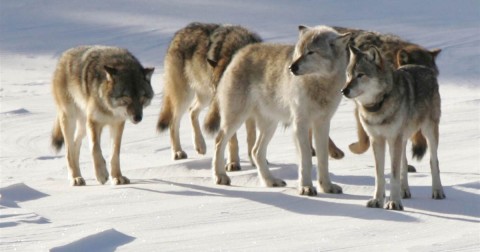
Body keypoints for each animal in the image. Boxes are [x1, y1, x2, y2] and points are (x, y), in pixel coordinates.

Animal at [49, 45, 154, 185]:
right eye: (126, 99)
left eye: (142, 98)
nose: (138, 118)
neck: (109, 108)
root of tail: (64, 56)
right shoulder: (94, 122)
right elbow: (95, 148)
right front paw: (101, 174)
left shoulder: (117, 124)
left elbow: (115, 153)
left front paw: (117, 177)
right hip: (70, 120)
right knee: (68, 150)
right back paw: (75, 178)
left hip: (83, 126)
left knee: (76, 145)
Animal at [157, 22, 262, 170]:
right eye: (218, 88)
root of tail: (179, 33)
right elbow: (232, 140)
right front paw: (233, 163)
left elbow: (251, 136)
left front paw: (254, 161)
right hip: (186, 97)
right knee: (174, 121)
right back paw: (178, 152)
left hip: (205, 97)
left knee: (192, 111)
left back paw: (200, 145)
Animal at [205, 25, 348, 195]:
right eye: (298, 52)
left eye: (311, 52)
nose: (292, 67)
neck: (319, 85)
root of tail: (240, 53)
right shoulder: (300, 124)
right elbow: (306, 159)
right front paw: (306, 187)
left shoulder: (323, 123)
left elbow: (323, 159)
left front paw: (326, 187)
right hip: (236, 120)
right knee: (219, 141)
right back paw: (220, 176)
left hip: (270, 125)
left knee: (256, 151)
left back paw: (270, 181)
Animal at [344, 45, 444, 211]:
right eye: (348, 75)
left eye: (360, 75)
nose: (343, 91)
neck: (378, 106)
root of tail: (423, 67)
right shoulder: (377, 140)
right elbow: (379, 175)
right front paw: (377, 200)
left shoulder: (393, 138)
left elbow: (394, 175)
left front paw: (394, 202)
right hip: (402, 139)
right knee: (404, 163)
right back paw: (405, 191)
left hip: (429, 132)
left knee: (433, 161)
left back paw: (438, 192)